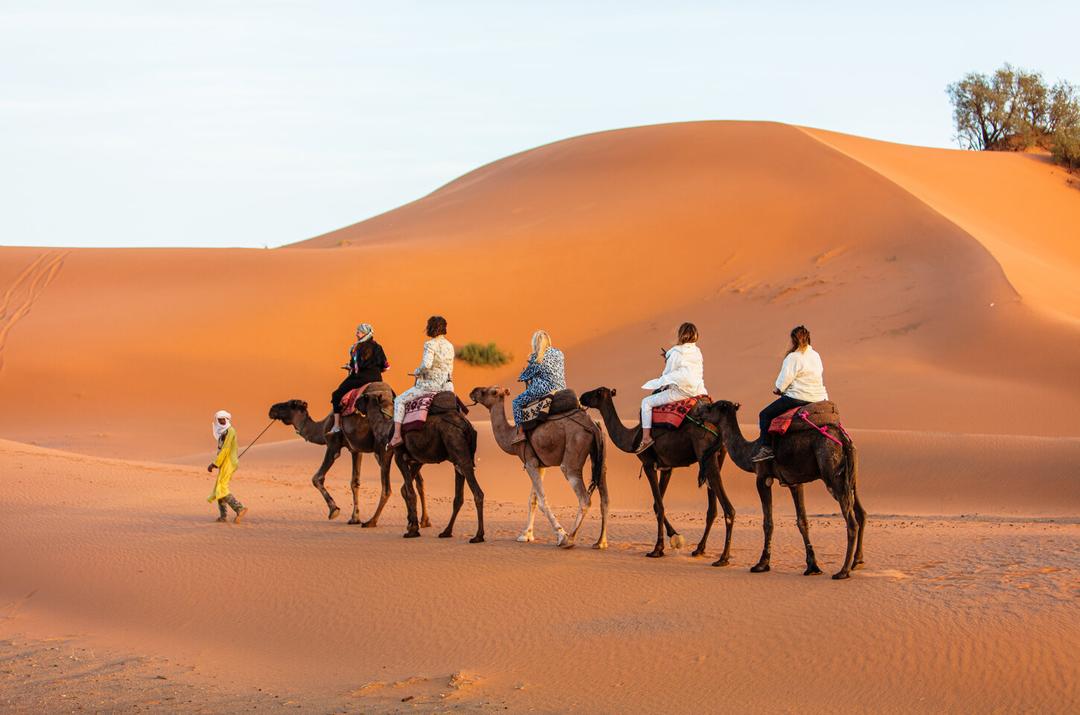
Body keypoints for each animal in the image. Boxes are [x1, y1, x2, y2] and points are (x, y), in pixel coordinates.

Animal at [265, 399, 429, 529]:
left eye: (289, 404)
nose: (271, 409)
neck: (322, 428)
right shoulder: (355, 450)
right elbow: (354, 482)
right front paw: (354, 518)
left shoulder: (333, 445)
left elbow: (317, 478)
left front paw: (334, 510)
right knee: (418, 482)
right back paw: (423, 521)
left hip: (384, 451)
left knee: (388, 488)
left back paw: (374, 521)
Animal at [358, 393, 486, 544]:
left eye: (360, 398)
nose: (353, 405)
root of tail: (466, 425)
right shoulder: (416, 461)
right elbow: (404, 489)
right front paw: (412, 524)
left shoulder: (399, 456)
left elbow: (410, 492)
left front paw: (412, 529)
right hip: (457, 460)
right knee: (459, 497)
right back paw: (446, 532)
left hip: (458, 450)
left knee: (477, 493)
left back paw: (478, 536)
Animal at [470, 386, 613, 548]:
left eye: (490, 392)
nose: (473, 391)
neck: (511, 437)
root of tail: (593, 425)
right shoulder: (539, 465)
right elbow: (532, 499)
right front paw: (526, 535)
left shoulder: (529, 462)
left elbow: (542, 500)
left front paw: (561, 535)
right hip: (600, 457)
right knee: (605, 498)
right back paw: (601, 542)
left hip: (573, 455)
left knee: (584, 498)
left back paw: (569, 539)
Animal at [583, 386, 734, 565]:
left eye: (597, 392)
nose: (582, 396)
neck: (633, 437)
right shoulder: (667, 467)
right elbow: (657, 504)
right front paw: (675, 537)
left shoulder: (649, 464)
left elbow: (659, 506)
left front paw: (657, 549)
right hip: (716, 456)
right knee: (712, 508)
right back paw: (699, 549)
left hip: (706, 453)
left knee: (728, 509)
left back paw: (723, 558)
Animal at [695, 399, 864, 578]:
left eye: (710, 407)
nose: (698, 410)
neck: (750, 451)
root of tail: (843, 441)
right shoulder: (794, 483)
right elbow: (802, 521)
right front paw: (812, 566)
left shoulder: (763, 478)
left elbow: (768, 523)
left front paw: (762, 564)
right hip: (850, 478)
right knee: (859, 513)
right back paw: (856, 563)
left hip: (833, 474)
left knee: (851, 522)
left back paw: (843, 571)